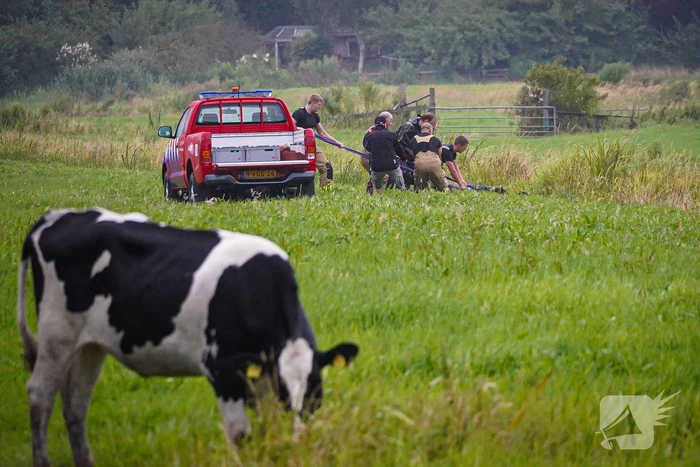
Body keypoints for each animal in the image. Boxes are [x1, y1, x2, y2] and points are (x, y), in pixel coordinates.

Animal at [17, 208, 359, 467]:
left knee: (75, 403)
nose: (299, 437)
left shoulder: (259, 381)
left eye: (316, 392)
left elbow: (265, 431)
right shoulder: (222, 372)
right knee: (40, 394)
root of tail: (53, 217)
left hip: (90, 345)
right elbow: (240, 436)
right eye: (287, 393)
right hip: (56, 336)